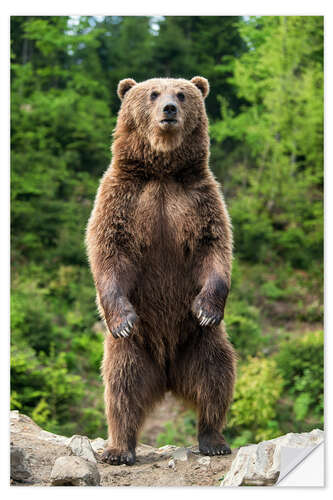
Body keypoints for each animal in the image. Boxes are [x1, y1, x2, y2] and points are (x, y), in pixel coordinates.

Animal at [85, 75, 236, 464]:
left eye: (181, 94)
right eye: (153, 93)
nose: (169, 109)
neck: (162, 171)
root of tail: (167, 376)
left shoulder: (200, 199)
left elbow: (214, 247)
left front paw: (207, 309)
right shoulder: (122, 198)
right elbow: (109, 250)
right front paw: (122, 318)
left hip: (199, 341)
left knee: (216, 377)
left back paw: (214, 439)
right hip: (134, 349)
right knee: (121, 389)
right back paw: (118, 448)